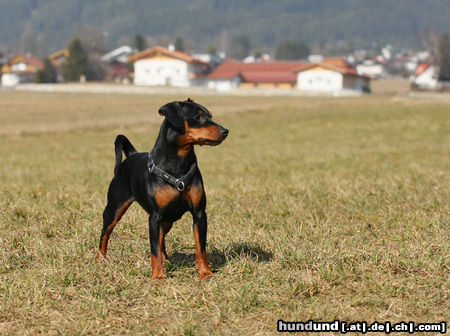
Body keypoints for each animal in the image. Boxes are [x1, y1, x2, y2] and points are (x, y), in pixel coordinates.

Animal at [96, 98, 229, 278]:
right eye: (197, 116)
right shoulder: (155, 216)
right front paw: (158, 276)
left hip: (168, 219)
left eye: (210, 116)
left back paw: (166, 259)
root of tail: (131, 154)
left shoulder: (199, 214)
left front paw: (205, 272)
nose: (225, 131)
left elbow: (201, 246)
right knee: (105, 233)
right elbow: (154, 250)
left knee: (161, 238)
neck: (178, 163)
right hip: (114, 209)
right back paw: (100, 259)